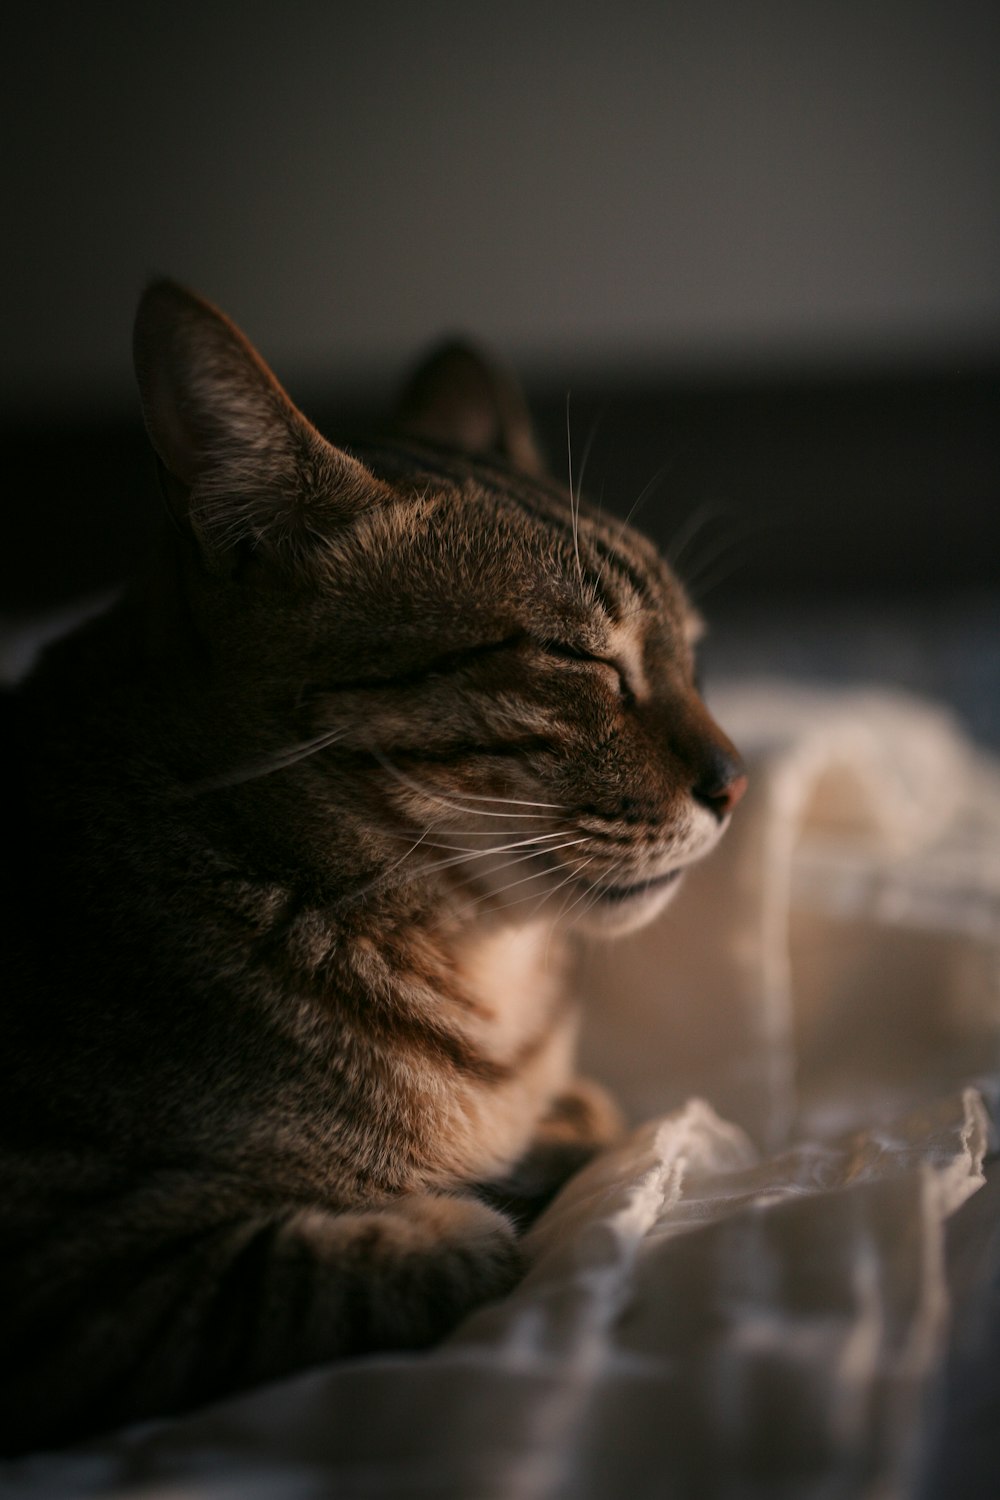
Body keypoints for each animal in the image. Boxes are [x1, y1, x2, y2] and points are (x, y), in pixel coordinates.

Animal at [0, 282, 746, 1452]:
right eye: (578, 657)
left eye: (694, 656)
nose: (737, 780)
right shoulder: (61, 1274)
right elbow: (384, 1261)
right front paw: (482, 1201)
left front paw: (553, 1136)